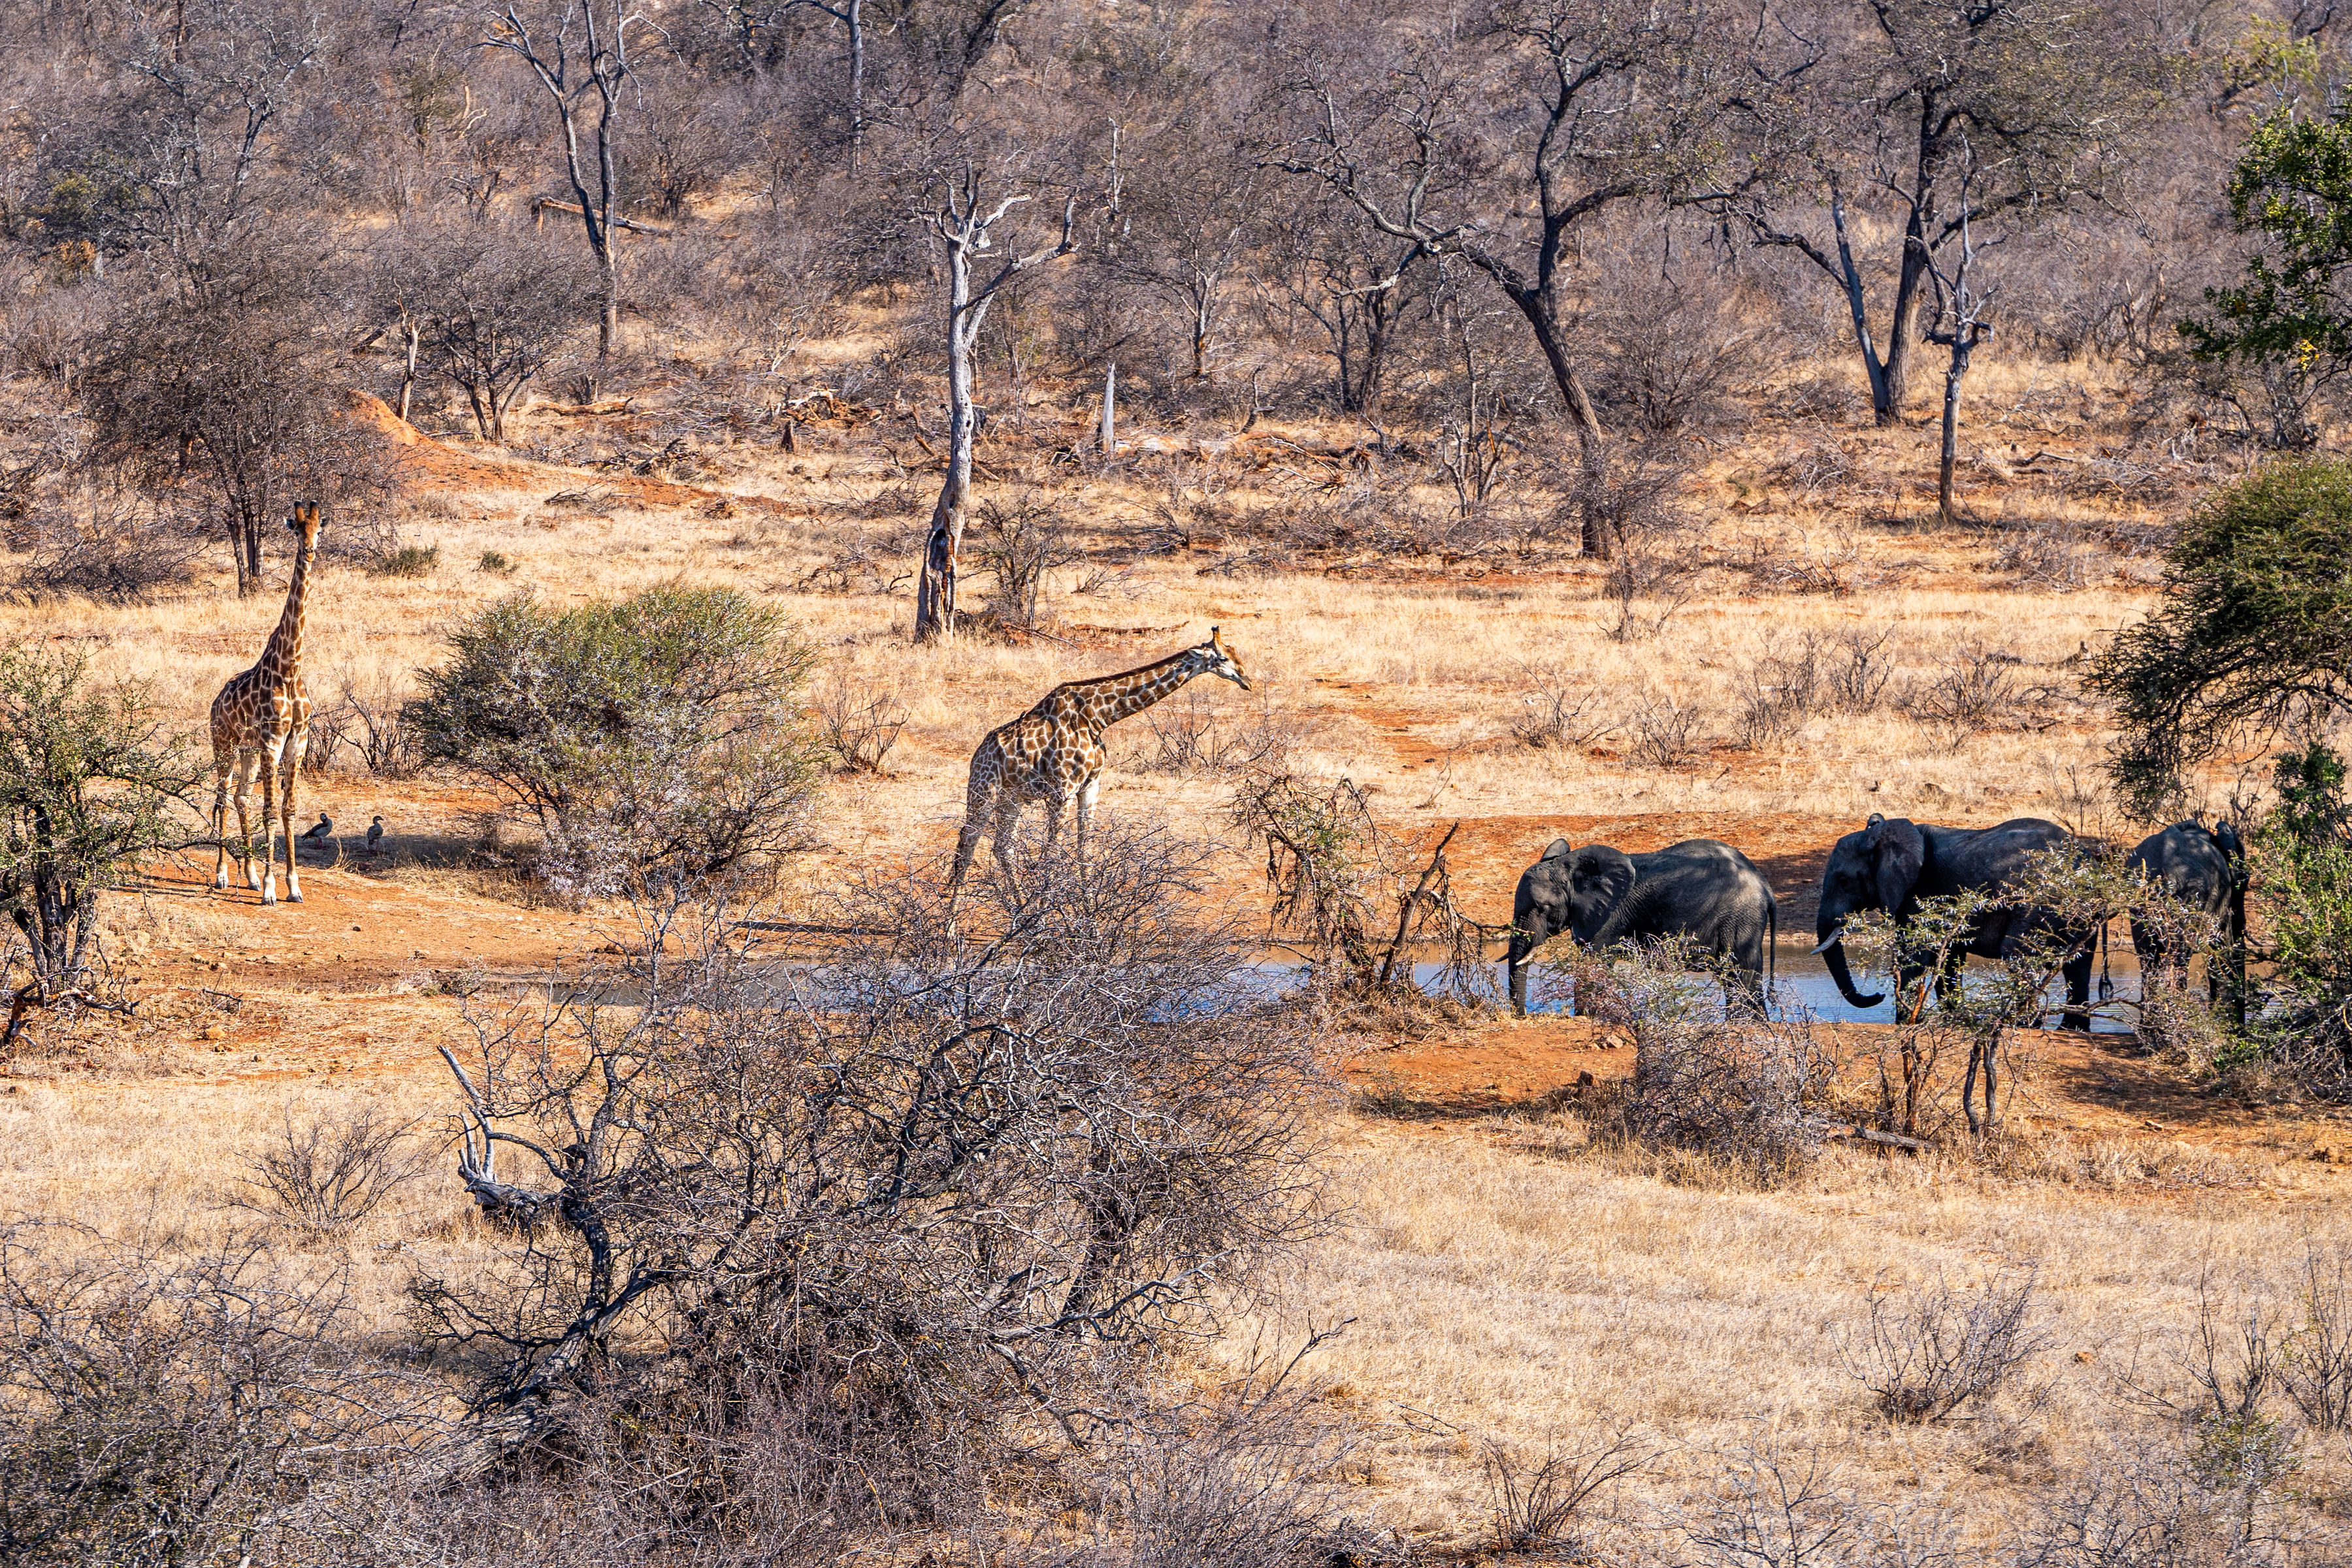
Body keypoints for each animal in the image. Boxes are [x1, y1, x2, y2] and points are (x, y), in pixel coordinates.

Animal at [210, 504, 325, 906]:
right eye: (297, 530)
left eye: (319, 529)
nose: (309, 551)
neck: (290, 668)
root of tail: (214, 703)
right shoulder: (272, 742)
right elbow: (271, 812)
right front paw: (274, 890)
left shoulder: (297, 741)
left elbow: (289, 811)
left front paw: (293, 886)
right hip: (224, 745)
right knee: (223, 798)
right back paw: (223, 875)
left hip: (246, 751)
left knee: (241, 798)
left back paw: (250, 875)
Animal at [949, 627, 1250, 891]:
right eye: (1223, 658)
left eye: (1235, 653)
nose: (1247, 680)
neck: (1097, 717)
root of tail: (977, 755)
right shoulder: (1062, 790)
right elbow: (1051, 853)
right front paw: (1046, 913)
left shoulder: (1090, 786)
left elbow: (1085, 850)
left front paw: (1087, 909)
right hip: (983, 792)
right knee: (967, 847)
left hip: (1013, 799)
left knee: (1002, 848)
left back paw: (1018, 909)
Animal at [1505, 838, 1777, 1016]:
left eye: (1544, 908)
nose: (1522, 1016)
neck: (1571, 867)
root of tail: (1766, 887)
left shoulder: (1609, 915)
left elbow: (1594, 960)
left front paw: (1585, 1017)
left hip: (1740, 918)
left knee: (1739, 975)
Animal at [1811, 814, 2095, 1031]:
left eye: (1844, 881)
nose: (1877, 996)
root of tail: (2081, 856)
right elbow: (1948, 958)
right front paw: (1954, 1020)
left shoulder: (1918, 891)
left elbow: (1914, 955)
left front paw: (1904, 1024)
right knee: (2081, 961)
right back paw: (2071, 1028)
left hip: (2040, 899)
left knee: (2017, 952)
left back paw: (2024, 1024)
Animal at [2125, 819, 2246, 1020]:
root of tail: (2167, 874)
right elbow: (2222, 948)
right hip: (2194, 894)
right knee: (2180, 958)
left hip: (2141, 897)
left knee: (2148, 959)